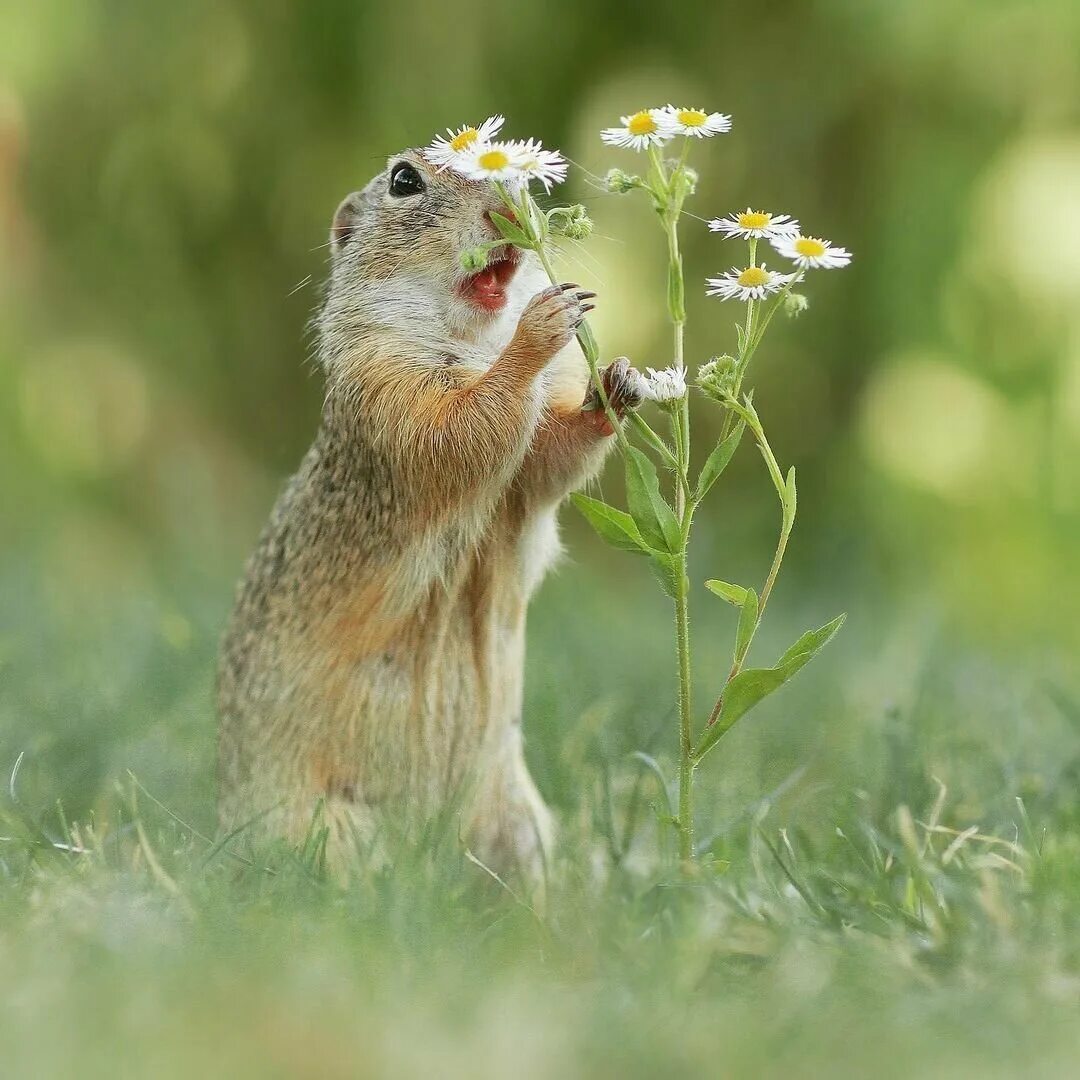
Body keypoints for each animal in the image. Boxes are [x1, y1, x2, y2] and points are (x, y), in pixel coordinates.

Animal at [218, 147, 639, 881]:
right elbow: (459, 432)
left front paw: (614, 384)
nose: (511, 200)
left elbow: (545, 460)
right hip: (329, 829)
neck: (472, 340)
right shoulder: (387, 389)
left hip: (520, 822)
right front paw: (541, 326)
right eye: (405, 180)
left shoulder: (523, 476)